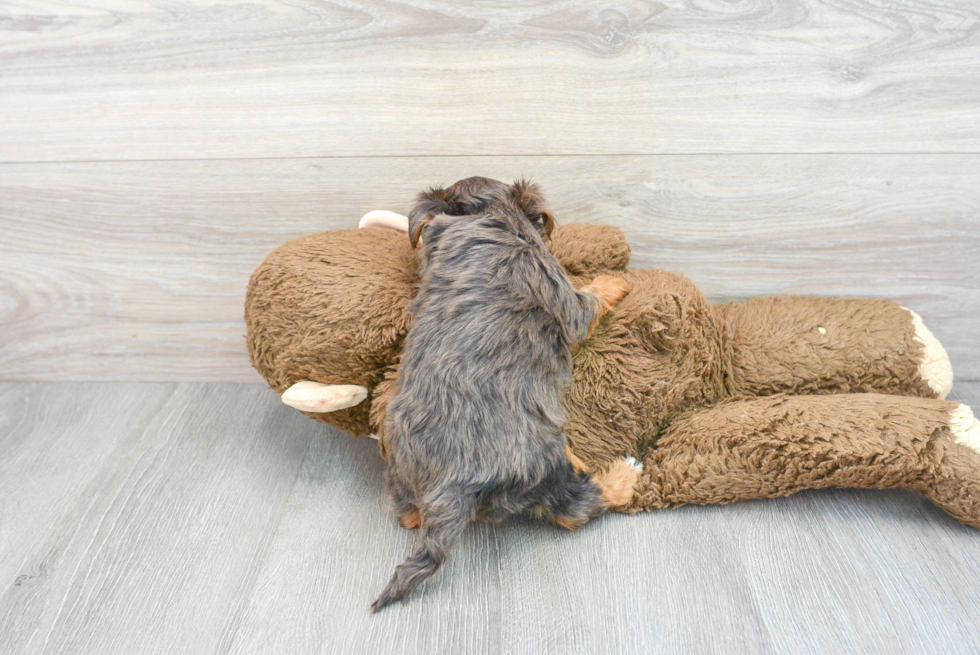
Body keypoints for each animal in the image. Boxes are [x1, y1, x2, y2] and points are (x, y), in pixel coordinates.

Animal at [372, 177, 640, 612]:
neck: (484, 217)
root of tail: (449, 487)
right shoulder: (561, 292)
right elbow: (591, 297)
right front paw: (614, 281)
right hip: (541, 464)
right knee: (575, 509)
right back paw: (621, 475)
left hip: (398, 462)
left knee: (407, 515)